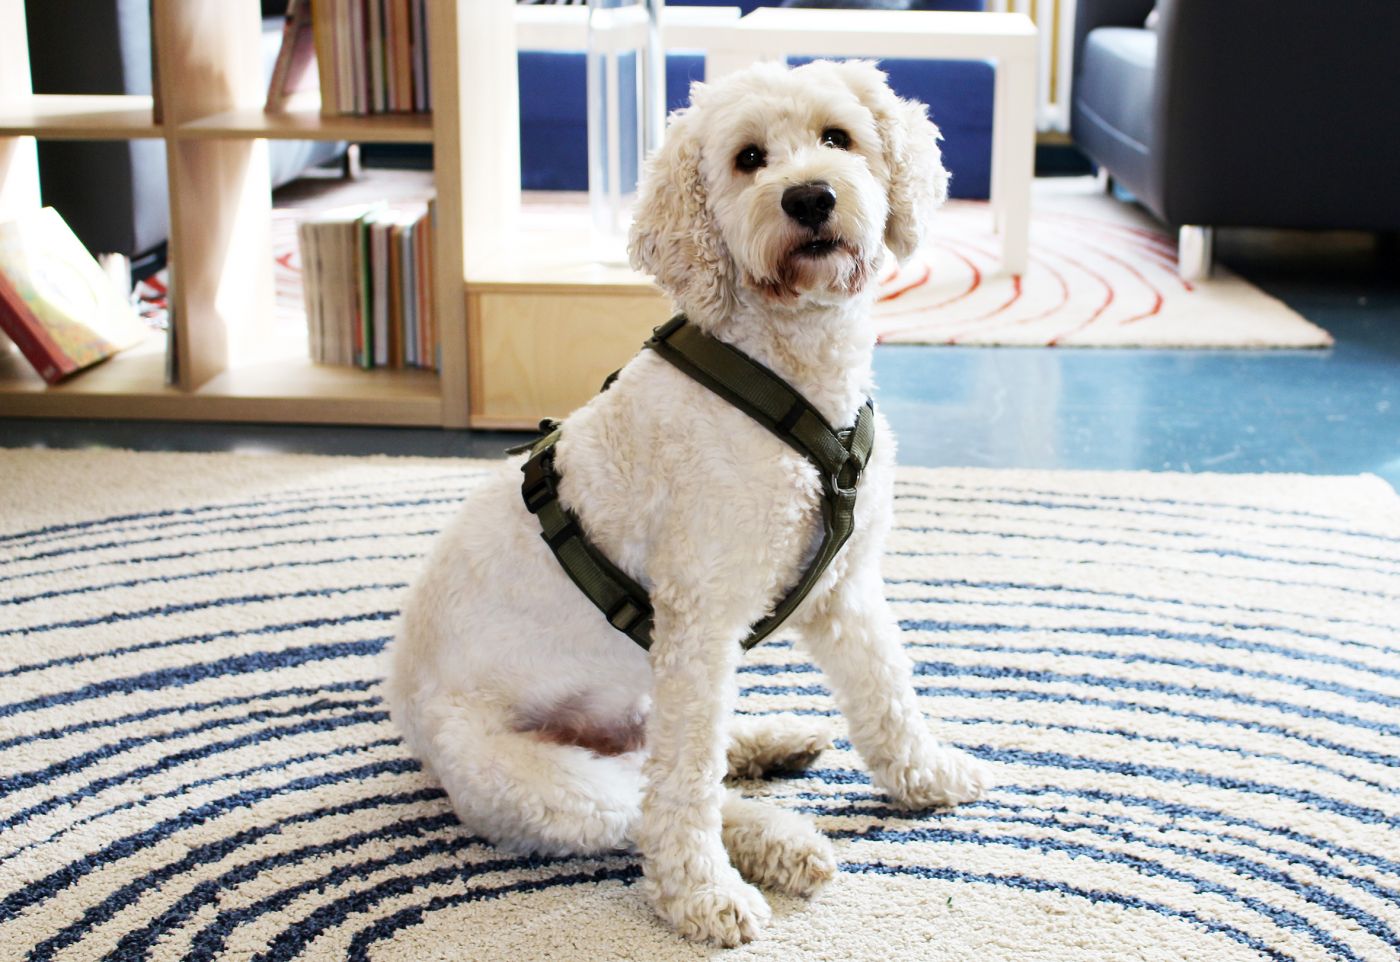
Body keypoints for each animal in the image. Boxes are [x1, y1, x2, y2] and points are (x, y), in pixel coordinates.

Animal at [384, 58, 992, 946]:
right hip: (549, 782)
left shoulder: (844, 591)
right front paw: (700, 898)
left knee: (676, 760)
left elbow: (887, 691)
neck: (785, 378)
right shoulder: (699, 626)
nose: (809, 197)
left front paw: (927, 774)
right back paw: (779, 842)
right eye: (748, 159)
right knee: (648, 798)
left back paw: (776, 745)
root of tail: (410, 721)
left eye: (837, 136)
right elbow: (685, 791)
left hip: (644, 699)